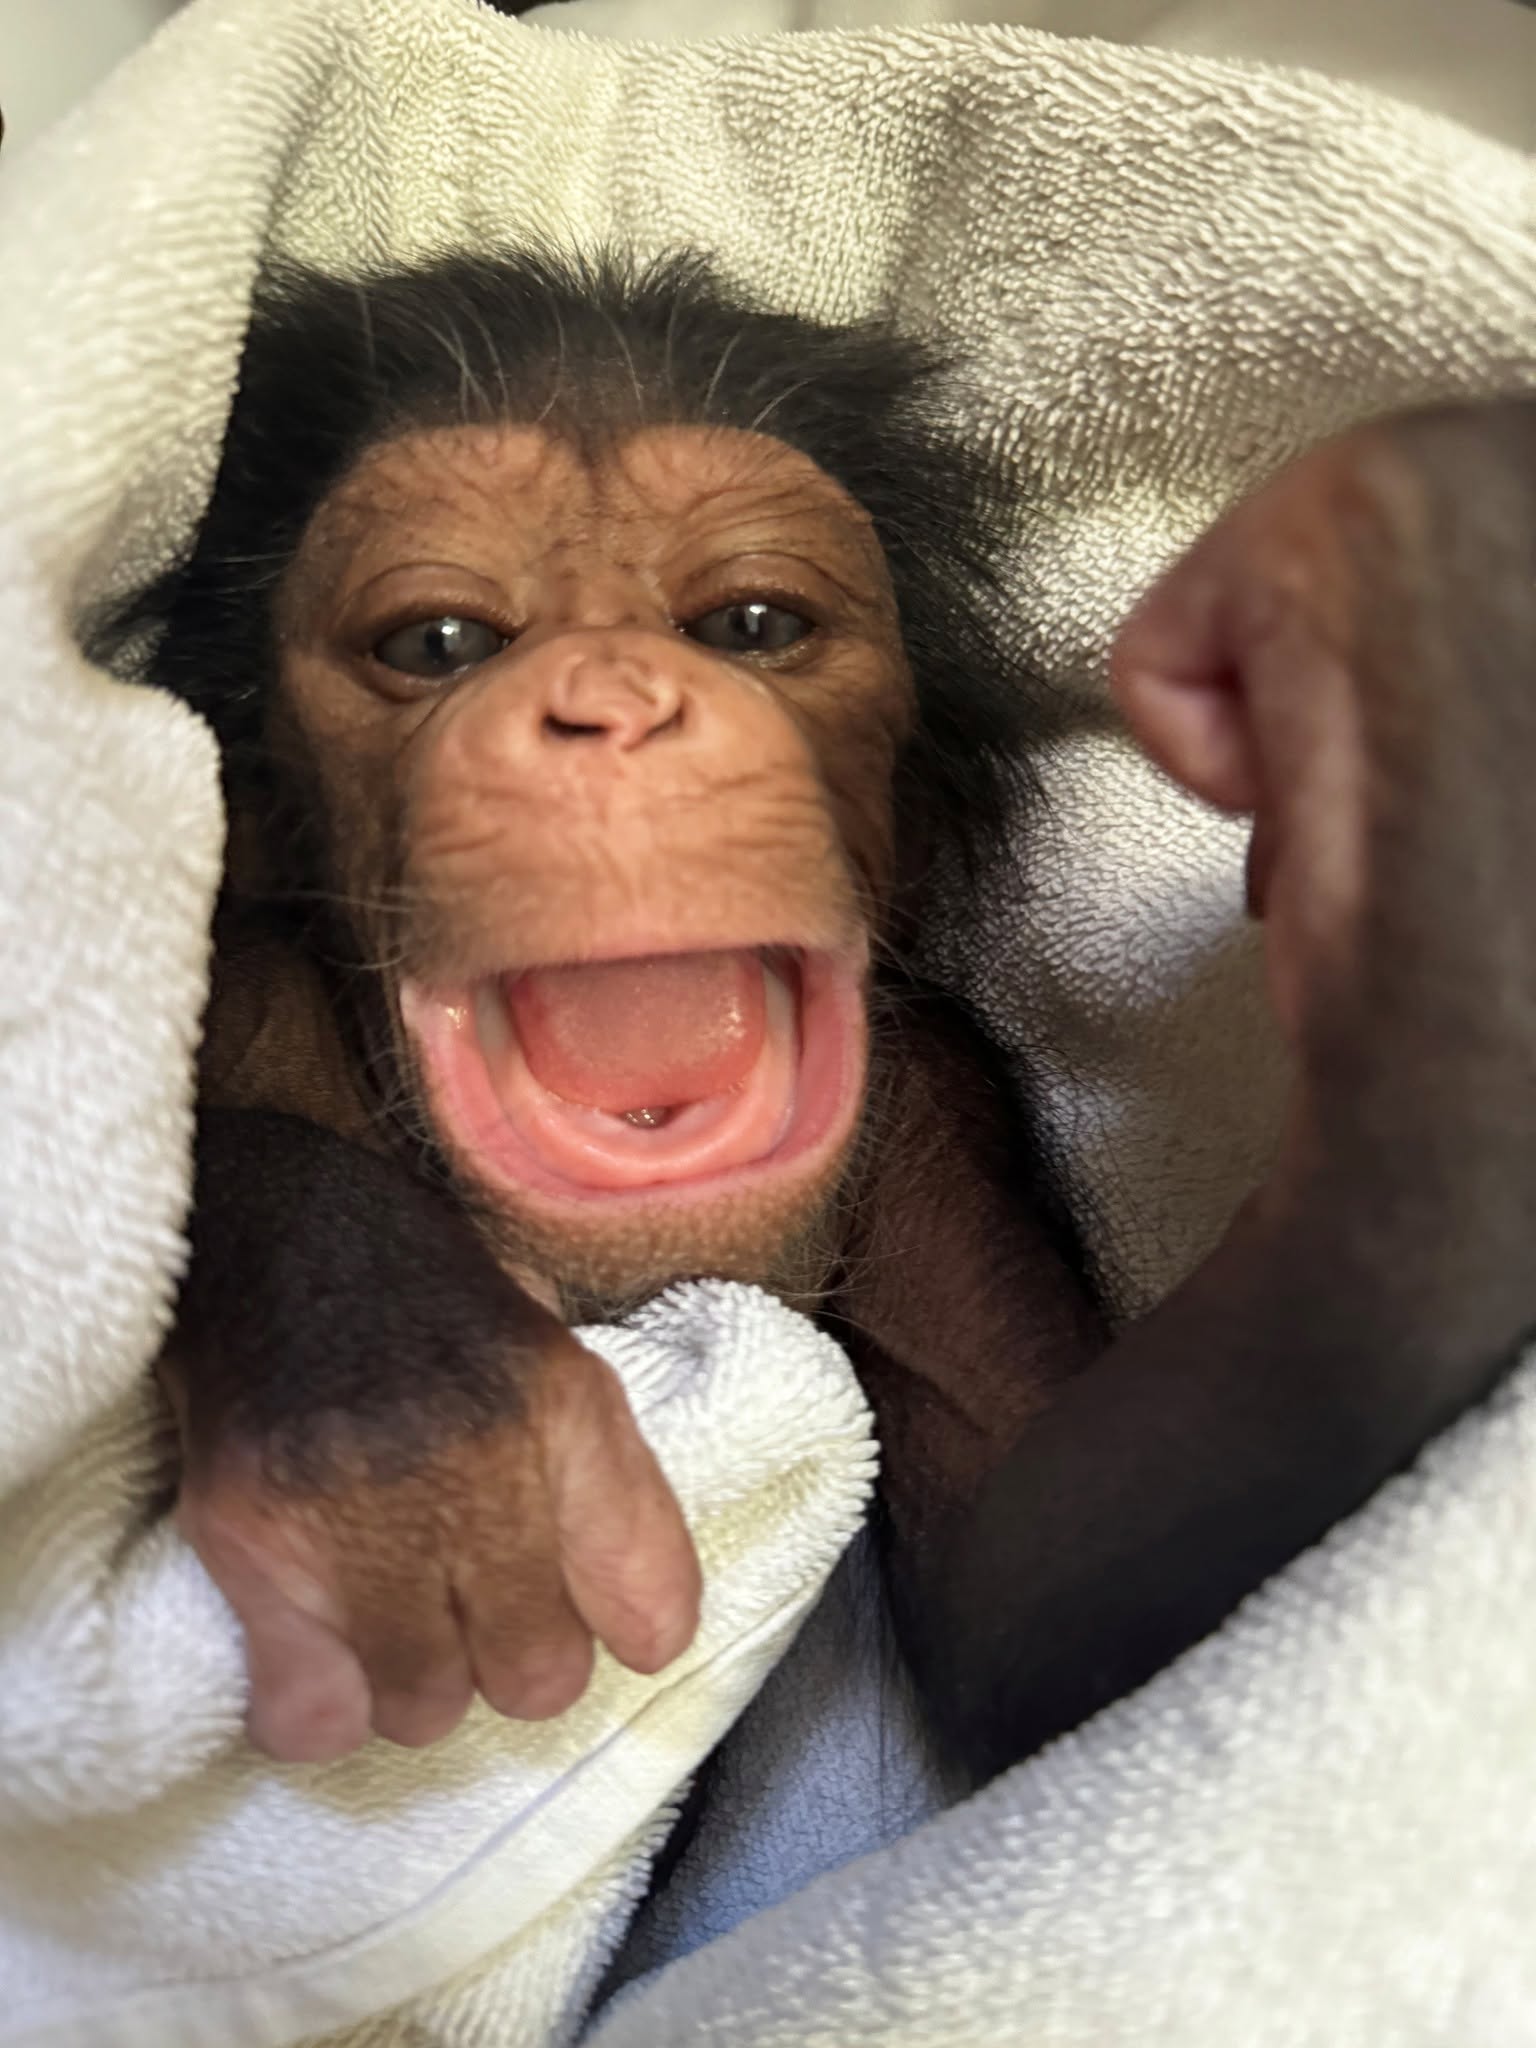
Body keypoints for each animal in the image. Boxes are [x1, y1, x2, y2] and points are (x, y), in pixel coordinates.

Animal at [93, 245, 1536, 1788]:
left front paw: (1437, 682)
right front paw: (394, 1401)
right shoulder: (245, 994)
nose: (614, 703)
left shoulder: (940, 1111)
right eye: (438, 640)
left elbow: (1033, 1597)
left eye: (752, 625)